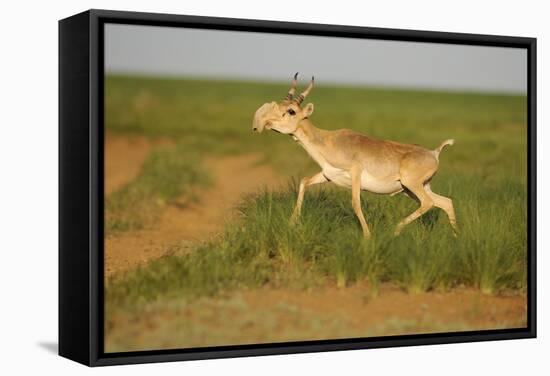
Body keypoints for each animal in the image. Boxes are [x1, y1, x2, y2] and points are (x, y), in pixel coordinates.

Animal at [252, 73, 460, 238]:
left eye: (291, 111)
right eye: (280, 105)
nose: (264, 123)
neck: (328, 140)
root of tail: (434, 153)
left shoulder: (355, 175)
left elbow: (355, 203)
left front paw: (367, 236)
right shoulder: (327, 175)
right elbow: (303, 182)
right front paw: (291, 223)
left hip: (412, 186)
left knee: (429, 203)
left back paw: (396, 230)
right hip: (414, 189)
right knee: (445, 202)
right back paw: (456, 238)